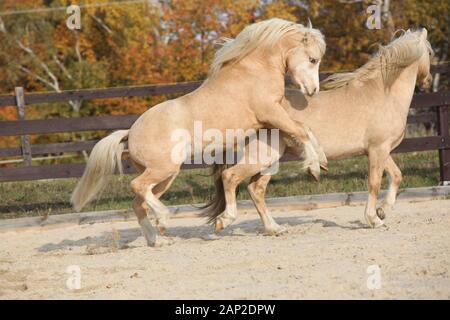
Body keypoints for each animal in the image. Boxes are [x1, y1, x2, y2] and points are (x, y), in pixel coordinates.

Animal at [70, 18, 326, 248]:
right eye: (313, 59)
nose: (313, 91)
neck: (255, 69)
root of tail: (131, 132)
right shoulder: (271, 112)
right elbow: (302, 131)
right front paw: (314, 167)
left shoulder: (275, 115)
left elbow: (305, 129)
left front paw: (321, 162)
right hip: (163, 169)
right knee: (138, 186)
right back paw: (167, 219)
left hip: (166, 175)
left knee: (138, 203)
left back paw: (158, 240)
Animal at [205, 28, 436, 234]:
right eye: (431, 53)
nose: (427, 81)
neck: (383, 94)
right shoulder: (377, 150)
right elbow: (374, 183)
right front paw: (373, 219)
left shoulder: (379, 150)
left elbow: (396, 176)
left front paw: (382, 211)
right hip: (261, 156)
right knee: (231, 177)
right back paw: (225, 221)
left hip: (270, 159)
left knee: (256, 190)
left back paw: (274, 229)